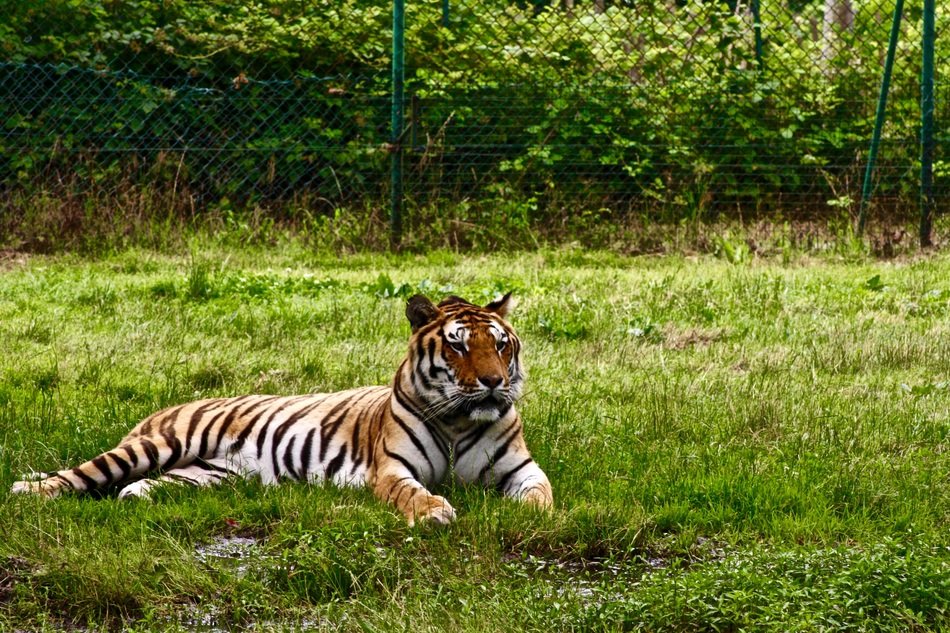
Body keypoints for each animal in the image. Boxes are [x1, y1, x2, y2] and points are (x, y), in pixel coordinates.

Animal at [10, 293, 553, 525]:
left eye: (500, 345)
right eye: (458, 346)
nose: (493, 383)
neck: (461, 421)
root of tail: (157, 412)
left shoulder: (521, 468)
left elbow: (539, 494)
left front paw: (531, 516)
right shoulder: (393, 470)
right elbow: (413, 493)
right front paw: (436, 510)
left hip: (204, 476)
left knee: (136, 487)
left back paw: (135, 497)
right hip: (156, 445)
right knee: (80, 475)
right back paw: (28, 491)